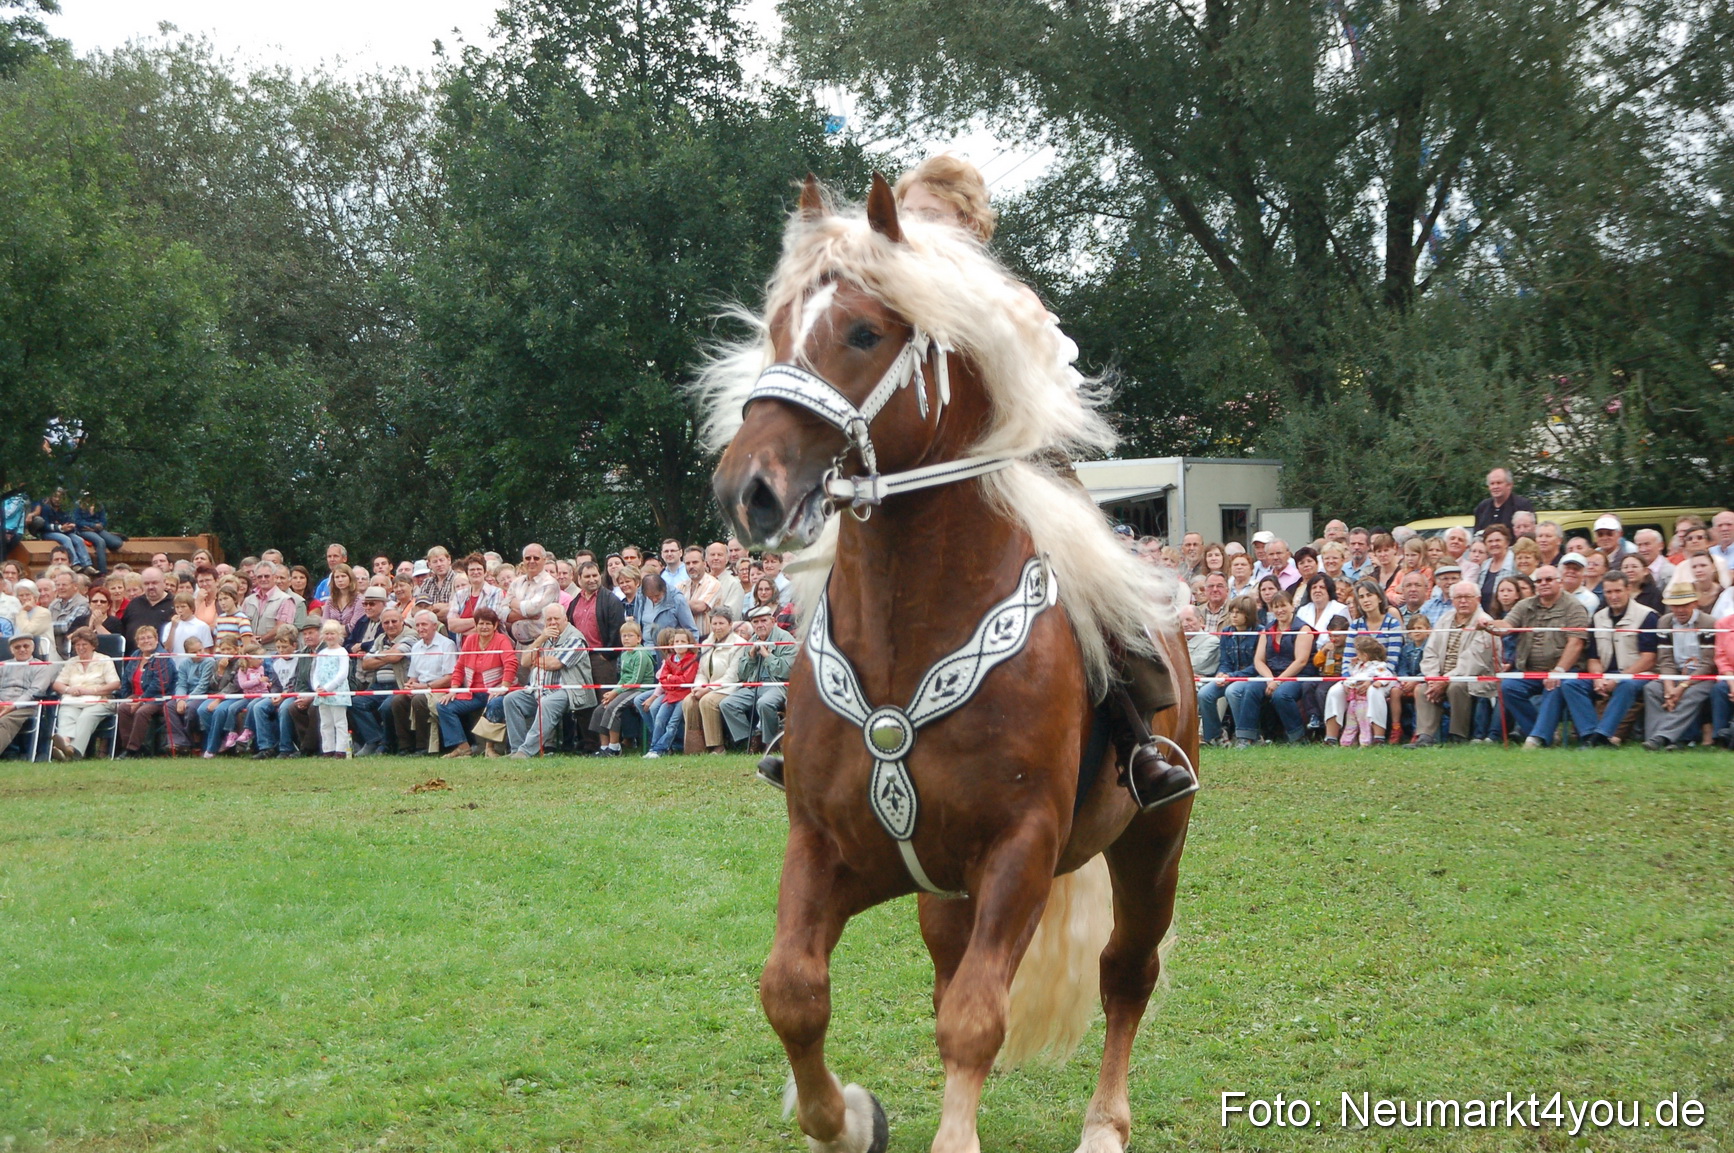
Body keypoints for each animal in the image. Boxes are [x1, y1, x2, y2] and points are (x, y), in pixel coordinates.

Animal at [705, 173, 1197, 1153]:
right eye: (774, 328)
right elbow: (793, 990)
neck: (910, 638)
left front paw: (948, 1129)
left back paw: (1104, 1124)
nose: (750, 490)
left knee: (1127, 970)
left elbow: (975, 1014)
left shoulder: (1020, 850)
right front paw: (847, 1119)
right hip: (946, 886)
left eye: (864, 332)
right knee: (947, 963)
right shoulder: (829, 846)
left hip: (1153, 840)